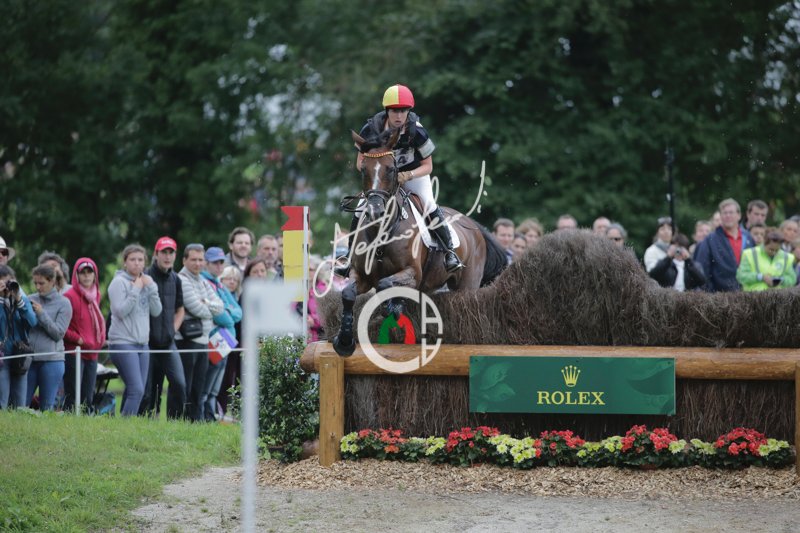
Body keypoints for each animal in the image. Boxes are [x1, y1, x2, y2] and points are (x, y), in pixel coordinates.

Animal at [331, 128, 508, 356]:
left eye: (391, 169)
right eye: (363, 170)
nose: (375, 211)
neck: (383, 231)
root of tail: (475, 227)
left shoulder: (413, 273)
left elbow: (384, 284)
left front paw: (393, 309)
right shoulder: (361, 274)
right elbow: (348, 294)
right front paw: (344, 341)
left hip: (467, 284)